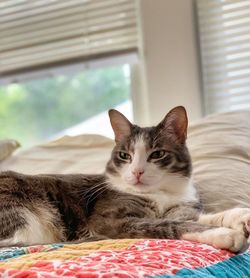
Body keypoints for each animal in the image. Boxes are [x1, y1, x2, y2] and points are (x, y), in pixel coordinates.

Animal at [0, 106, 250, 252]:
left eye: (157, 154)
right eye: (124, 156)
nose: (137, 171)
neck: (162, 193)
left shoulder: (181, 208)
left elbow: (200, 216)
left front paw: (241, 217)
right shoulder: (110, 220)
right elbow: (166, 224)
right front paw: (224, 234)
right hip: (20, 212)